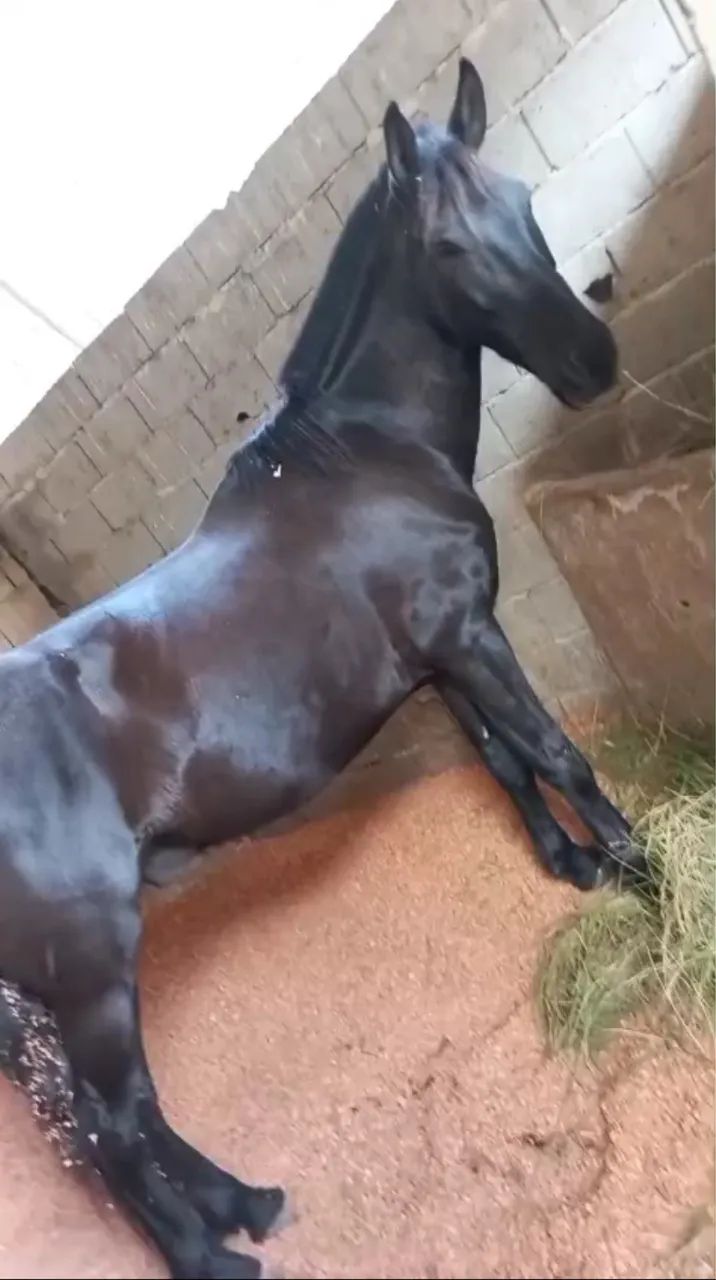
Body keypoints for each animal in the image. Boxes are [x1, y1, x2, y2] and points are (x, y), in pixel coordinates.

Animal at [0, 59, 643, 1279]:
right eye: (445, 245)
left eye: (521, 198)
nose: (595, 364)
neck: (366, 460)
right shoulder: (469, 637)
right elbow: (555, 751)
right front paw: (648, 879)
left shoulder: (442, 652)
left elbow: (500, 759)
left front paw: (569, 868)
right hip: (91, 959)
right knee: (109, 1127)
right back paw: (215, 1254)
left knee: (120, 1115)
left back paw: (244, 1201)